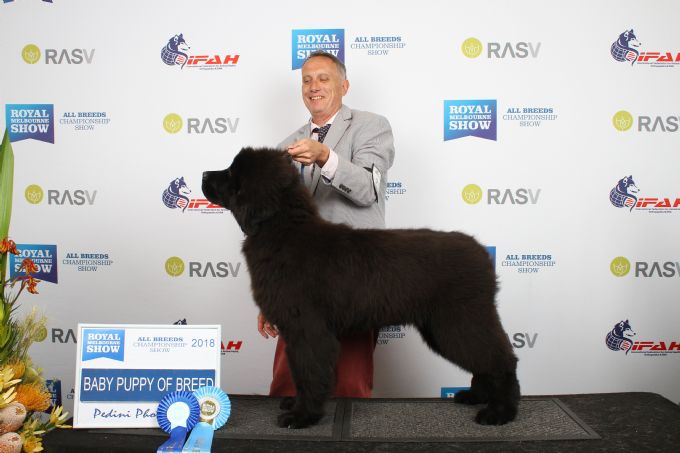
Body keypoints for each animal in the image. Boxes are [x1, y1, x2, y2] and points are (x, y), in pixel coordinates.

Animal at [202, 147, 520, 428]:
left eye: (230, 173)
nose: (204, 173)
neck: (282, 229)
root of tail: (481, 252)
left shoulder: (307, 328)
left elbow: (308, 372)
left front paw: (302, 416)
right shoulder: (297, 330)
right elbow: (300, 372)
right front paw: (296, 405)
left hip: (460, 321)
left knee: (501, 359)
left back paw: (500, 411)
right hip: (446, 326)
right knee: (486, 360)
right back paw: (477, 396)